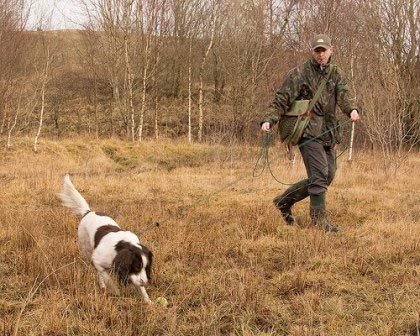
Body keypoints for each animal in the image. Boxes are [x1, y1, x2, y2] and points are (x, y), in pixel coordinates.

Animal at [58, 175, 152, 304]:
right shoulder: (97, 261)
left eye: (146, 267)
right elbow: (107, 278)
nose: (146, 282)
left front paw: (148, 301)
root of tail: (88, 212)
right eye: (136, 266)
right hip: (87, 249)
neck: (119, 247)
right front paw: (115, 290)